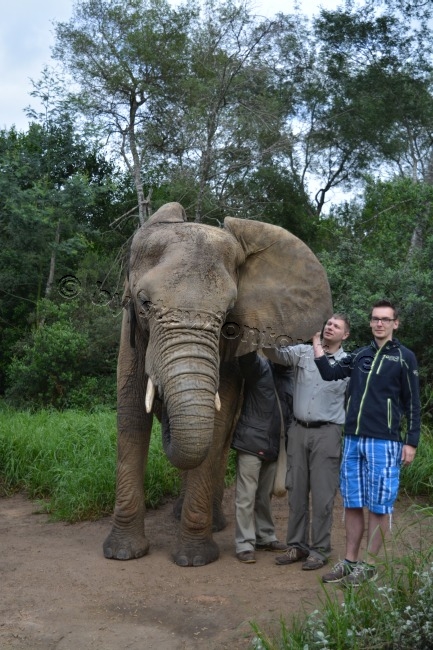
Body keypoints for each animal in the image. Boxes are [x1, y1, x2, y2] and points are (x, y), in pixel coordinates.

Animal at [103, 201, 332, 566]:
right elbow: (131, 416)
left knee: (220, 441)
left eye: (227, 315)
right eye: (144, 303)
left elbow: (217, 420)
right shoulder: (130, 335)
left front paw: (195, 559)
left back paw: (213, 523)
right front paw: (122, 554)